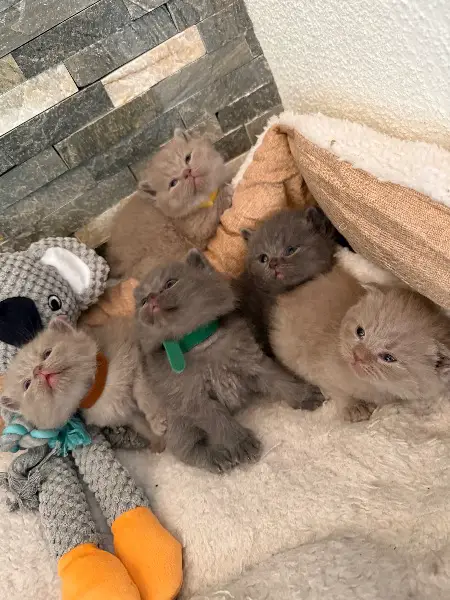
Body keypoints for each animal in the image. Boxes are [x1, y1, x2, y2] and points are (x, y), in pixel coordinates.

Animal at [0, 317, 166, 451]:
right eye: (27, 384)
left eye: (47, 353)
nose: (37, 370)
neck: (99, 388)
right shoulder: (127, 416)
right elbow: (141, 425)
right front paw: (158, 441)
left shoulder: (137, 361)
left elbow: (145, 394)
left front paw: (158, 421)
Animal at [107, 129, 232, 280]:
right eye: (173, 183)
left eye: (188, 158)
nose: (187, 172)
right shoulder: (196, 227)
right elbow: (212, 213)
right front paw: (226, 192)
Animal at [134, 249, 323, 473]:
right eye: (142, 302)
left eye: (170, 283)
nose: (151, 298)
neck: (200, 343)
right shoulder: (190, 398)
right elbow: (217, 419)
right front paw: (239, 442)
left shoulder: (251, 359)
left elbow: (278, 378)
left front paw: (304, 395)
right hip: (177, 422)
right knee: (187, 449)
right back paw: (216, 456)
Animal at [271, 263, 450, 422]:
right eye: (360, 332)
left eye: (388, 358)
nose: (357, 355)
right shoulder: (316, 366)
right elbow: (335, 389)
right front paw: (354, 406)